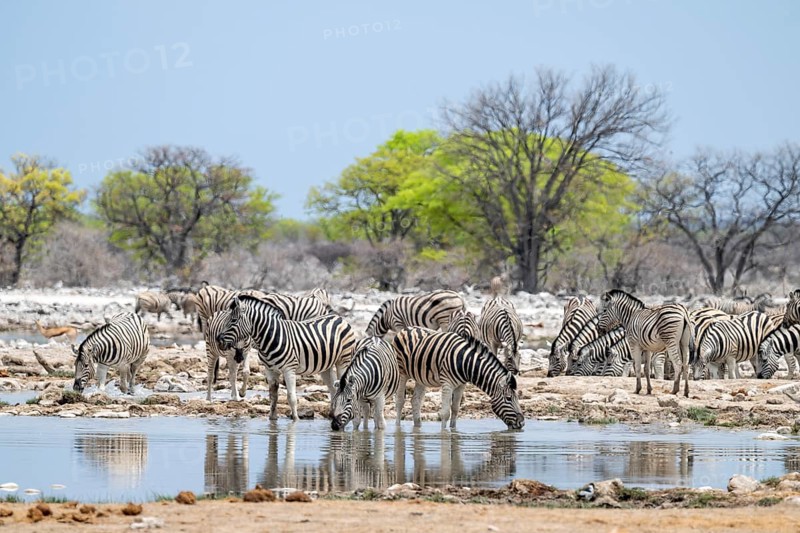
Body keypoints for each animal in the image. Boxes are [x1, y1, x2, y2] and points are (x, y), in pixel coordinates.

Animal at [216, 295, 357, 421]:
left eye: (233, 320)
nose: (218, 340)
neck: (270, 338)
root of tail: (339, 317)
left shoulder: (289, 369)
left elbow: (291, 397)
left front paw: (295, 419)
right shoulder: (269, 369)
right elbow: (273, 395)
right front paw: (272, 418)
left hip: (343, 361)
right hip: (325, 366)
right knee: (333, 389)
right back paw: (333, 415)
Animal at [392, 327, 525, 430]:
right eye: (508, 398)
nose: (522, 423)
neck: (466, 362)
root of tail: (406, 328)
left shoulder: (461, 385)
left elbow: (455, 409)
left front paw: (453, 431)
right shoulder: (447, 384)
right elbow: (446, 413)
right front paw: (444, 433)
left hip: (421, 377)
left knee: (416, 401)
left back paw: (418, 427)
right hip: (402, 372)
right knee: (400, 401)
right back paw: (397, 427)